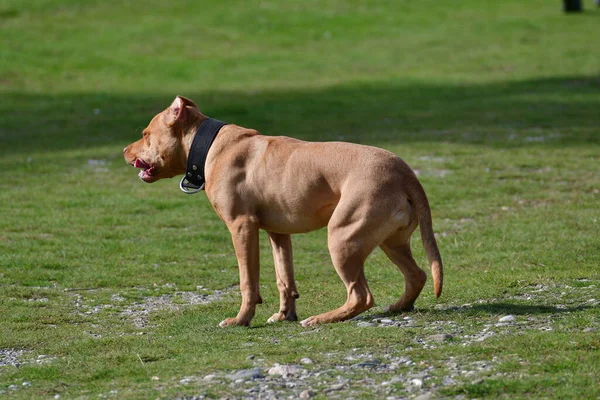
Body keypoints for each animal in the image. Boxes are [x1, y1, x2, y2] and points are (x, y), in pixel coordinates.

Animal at [123, 97, 440, 328]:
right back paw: (399, 306)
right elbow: (283, 278)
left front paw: (241, 320)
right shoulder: (277, 233)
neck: (210, 146)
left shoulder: (242, 227)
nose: (125, 150)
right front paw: (284, 314)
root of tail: (404, 172)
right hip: (389, 241)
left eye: (145, 134)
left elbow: (247, 281)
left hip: (343, 238)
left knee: (361, 296)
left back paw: (321, 319)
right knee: (417, 275)